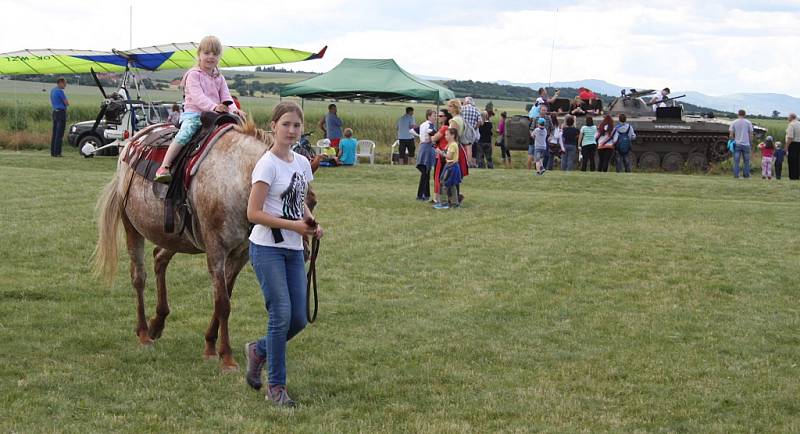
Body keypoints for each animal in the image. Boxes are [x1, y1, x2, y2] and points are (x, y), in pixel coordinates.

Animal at [94, 121, 316, 370]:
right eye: (284, 198)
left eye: (313, 201)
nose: (305, 251)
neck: (234, 179)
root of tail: (133, 141)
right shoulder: (216, 251)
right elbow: (223, 303)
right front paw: (226, 357)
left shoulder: (240, 254)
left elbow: (224, 297)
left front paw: (210, 344)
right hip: (132, 226)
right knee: (138, 276)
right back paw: (143, 332)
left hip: (177, 237)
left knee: (159, 258)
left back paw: (157, 323)